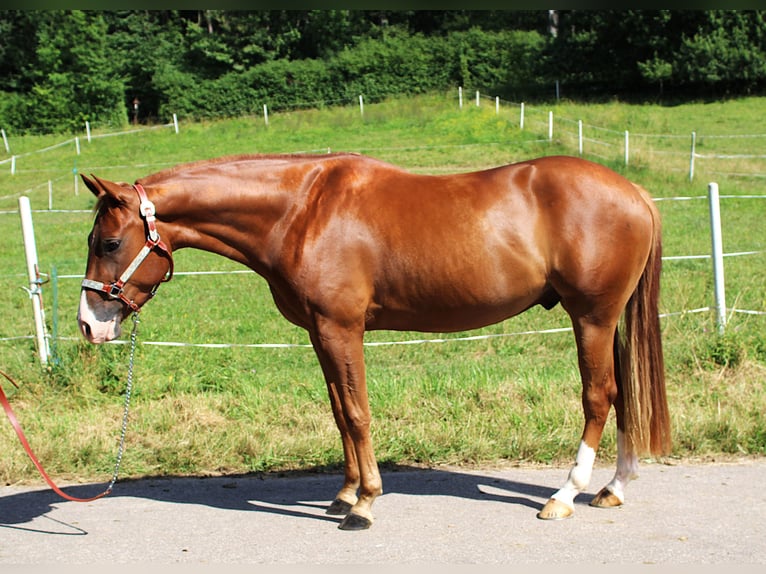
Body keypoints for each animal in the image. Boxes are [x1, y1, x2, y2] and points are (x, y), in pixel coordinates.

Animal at [75, 153, 668, 532]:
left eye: (109, 242)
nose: (88, 324)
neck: (302, 210)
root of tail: (635, 193)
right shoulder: (319, 332)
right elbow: (340, 410)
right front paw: (343, 495)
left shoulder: (342, 328)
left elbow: (358, 412)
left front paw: (364, 504)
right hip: (607, 321)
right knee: (623, 394)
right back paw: (614, 487)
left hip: (591, 317)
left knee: (599, 396)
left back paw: (565, 495)